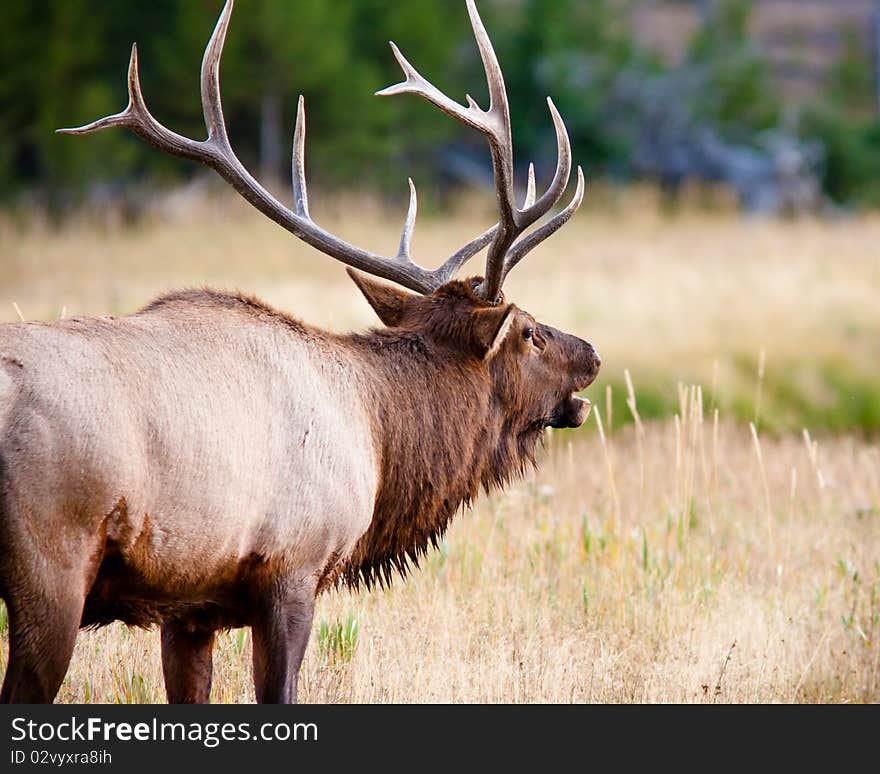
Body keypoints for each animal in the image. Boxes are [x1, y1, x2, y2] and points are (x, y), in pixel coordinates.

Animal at [0, 0, 600, 704]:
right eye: (529, 331)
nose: (592, 353)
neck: (380, 438)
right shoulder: (293, 567)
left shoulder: (190, 607)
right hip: (52, 564)